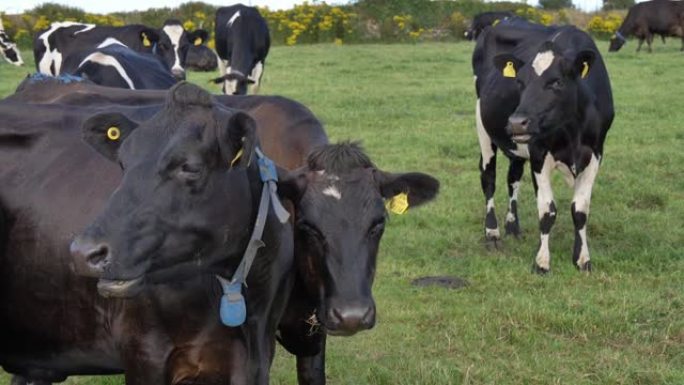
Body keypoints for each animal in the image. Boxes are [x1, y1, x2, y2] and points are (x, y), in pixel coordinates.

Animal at [470, 18, 616, 272]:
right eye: (520, 82)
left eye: (556, 82)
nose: (516, 122)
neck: (572, 131)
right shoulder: (539, 154)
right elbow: (547, 211)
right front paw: (542, 262)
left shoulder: (595, 153)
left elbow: (580, 209)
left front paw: (582, 259)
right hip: (483, 126)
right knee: (489, 178)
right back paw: (492, 233)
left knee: (513, 178)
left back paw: (513, 227)